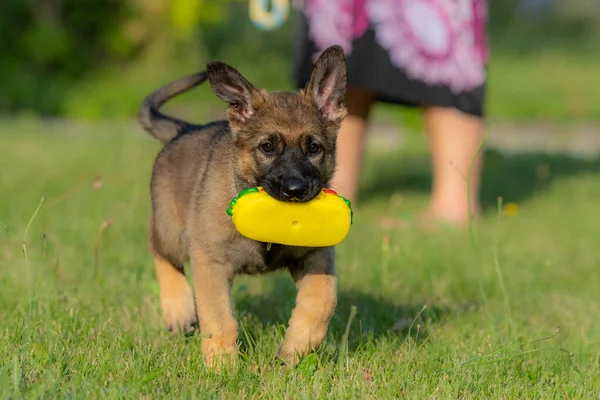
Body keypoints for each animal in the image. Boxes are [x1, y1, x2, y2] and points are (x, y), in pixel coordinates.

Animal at [138, 45, 346, 368]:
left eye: (314, 148)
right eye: (267, 147)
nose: (296, 190)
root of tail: (184, 129)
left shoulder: (316, 257)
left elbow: (321, 302)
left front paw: (294, 350)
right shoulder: (209, 262)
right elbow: (219, 319)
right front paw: (221, 365)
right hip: (170, 230)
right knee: (160, 252)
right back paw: (178, 310)